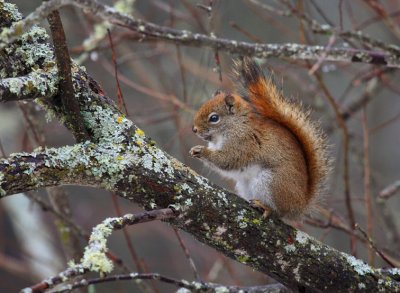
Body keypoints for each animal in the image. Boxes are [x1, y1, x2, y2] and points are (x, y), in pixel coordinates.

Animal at [191, 57, 332, 217]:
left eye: (214, 118)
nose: (194, 129)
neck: (234, 125)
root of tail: (300, 205)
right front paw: (195, 150)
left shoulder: (243, 142)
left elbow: (228, 159)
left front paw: (202, 151)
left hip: (271, 182)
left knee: (278, 212)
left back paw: (265, 207)